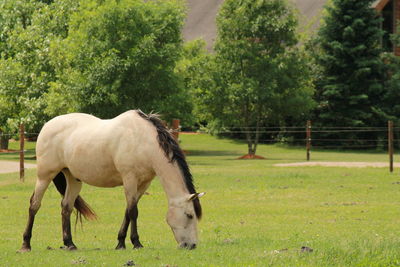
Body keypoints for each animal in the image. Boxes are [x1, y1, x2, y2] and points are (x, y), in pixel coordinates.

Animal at [18, 110, 203, 252]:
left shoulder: (143, 184)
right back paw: (26, 244)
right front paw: (135, 243)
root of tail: (47, 126)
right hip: (45, 176)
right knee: (34, 205)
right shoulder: (129, 179)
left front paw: (121, 242)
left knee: (66, 208)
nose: (192, 245)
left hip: (73, 179)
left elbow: (128, 211)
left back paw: (70, 244)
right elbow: (133, 211)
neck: (143, 140)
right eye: (189, 215)